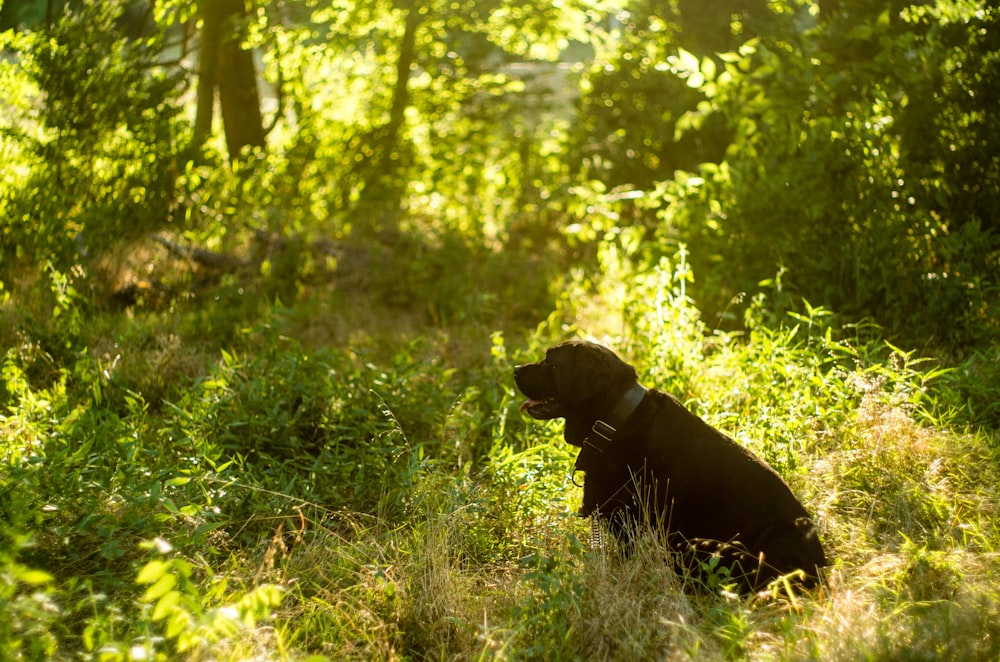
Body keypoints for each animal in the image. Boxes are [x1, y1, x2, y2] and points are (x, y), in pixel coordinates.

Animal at [516, 342, 828, 592]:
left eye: (551, 363)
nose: (516, 369)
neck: (615, 422)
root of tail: (823, 567)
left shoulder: (636, 525)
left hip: (776, 536)